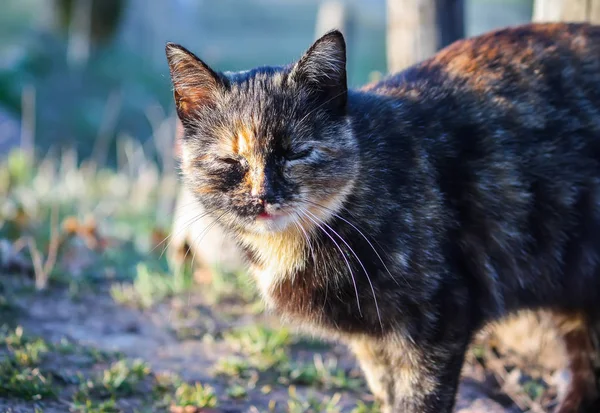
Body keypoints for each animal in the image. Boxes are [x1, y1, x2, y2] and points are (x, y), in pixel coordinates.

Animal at [166, 23, 600, 412]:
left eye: (296, 153)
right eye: (230, 161)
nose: (263, 196)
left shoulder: (438, 320)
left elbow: (418, 401)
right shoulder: (370, 338)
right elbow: (386, 392)